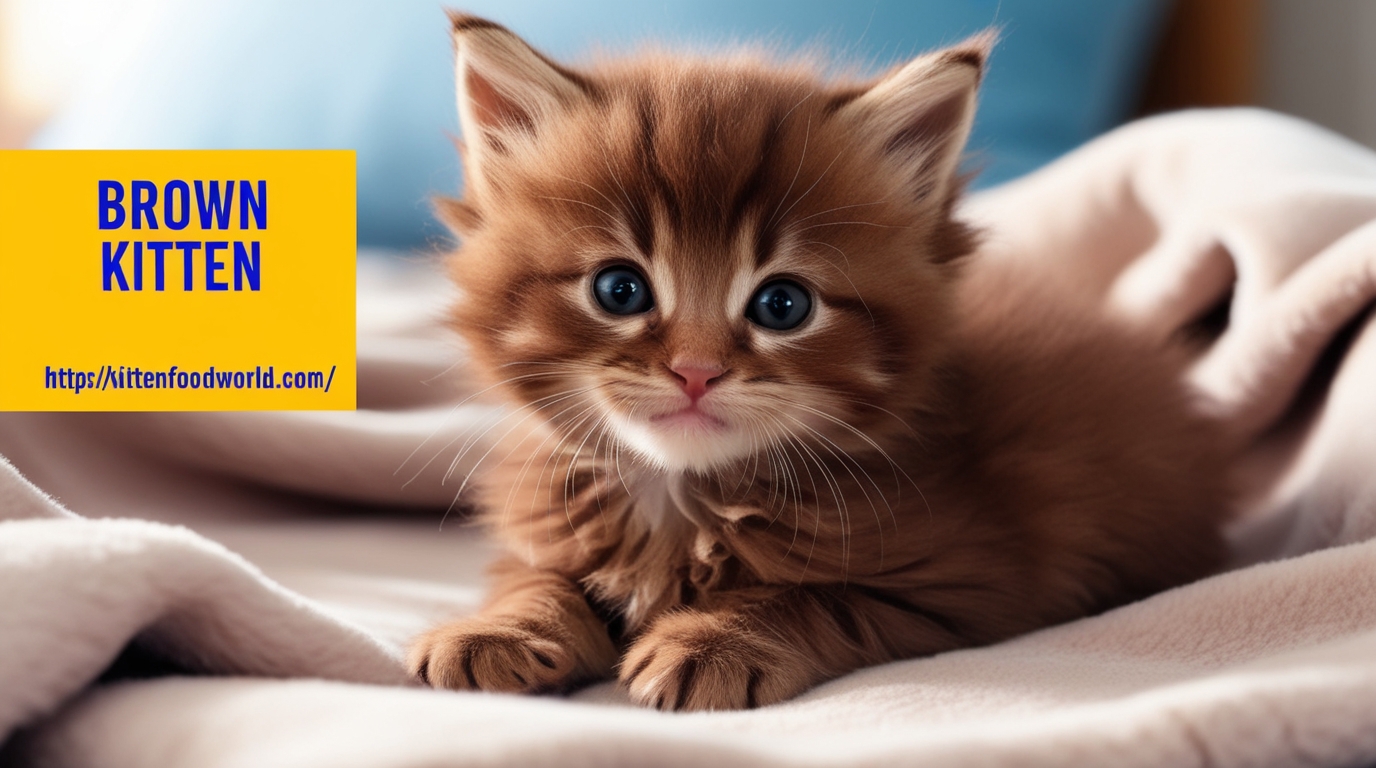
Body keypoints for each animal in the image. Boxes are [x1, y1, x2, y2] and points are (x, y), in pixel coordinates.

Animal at [407, 12, 1227, 715]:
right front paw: (498, 629)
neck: (678, 496)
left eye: (783, 305)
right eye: (619, 289)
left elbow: (809, 596)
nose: (696, 371)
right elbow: (535, 578)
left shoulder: (969, 583)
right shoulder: (542, 528)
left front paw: (716, 640)